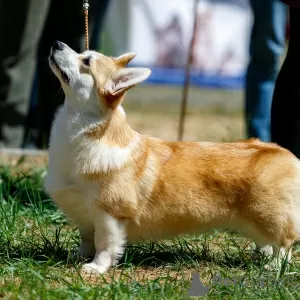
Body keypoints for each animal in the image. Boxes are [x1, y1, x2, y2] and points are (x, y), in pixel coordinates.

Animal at [45, 40, 300, 274]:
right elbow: (87, 238)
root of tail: (285, 153)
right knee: (266, 242)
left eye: (86, 61)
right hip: (254, 222)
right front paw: (78, 256)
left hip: (269, 217)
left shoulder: (109, 214)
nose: (56, 43)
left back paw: (274, 267)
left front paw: (96, 267)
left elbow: (105, 245)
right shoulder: (83, 214)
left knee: (284, 244)